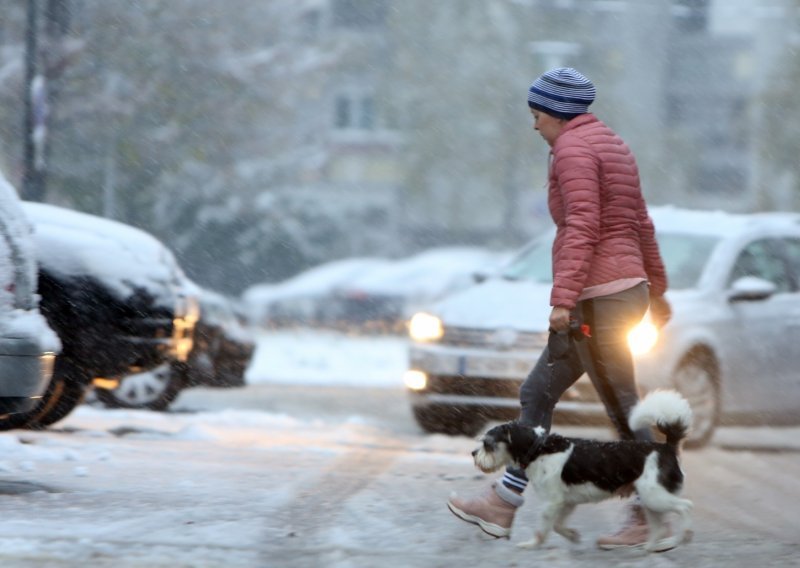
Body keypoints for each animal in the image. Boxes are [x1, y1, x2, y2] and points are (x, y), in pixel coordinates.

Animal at [476, 390, 692, 552]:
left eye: (487, 444)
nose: (472, 453)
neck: (538, 448)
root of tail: (667, 447)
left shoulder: (552, 503)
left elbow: (543, 528)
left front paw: (532, 544)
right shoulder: (566, 503)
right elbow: (558, 525)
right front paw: (573, 536)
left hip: (655, 497)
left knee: (685, 507)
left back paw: (684, 536)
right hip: (650, 500)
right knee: (659, 526)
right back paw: (650, 547)